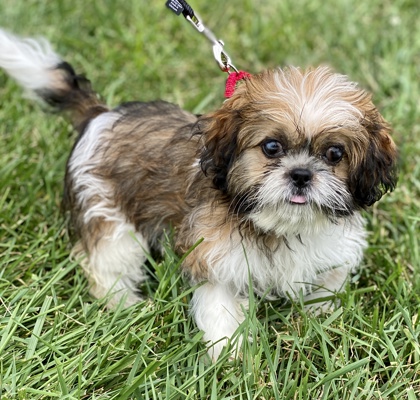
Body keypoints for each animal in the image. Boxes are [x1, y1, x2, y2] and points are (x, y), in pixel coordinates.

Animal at [0, 28, 398, 360]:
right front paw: (231, 358)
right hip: (106, 211)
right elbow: (219, 307)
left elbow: (327, 285)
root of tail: (100, 115)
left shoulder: (330, 252)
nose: (301, 175)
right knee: (107, 261)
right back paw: (125, 304)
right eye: (271, 147)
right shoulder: (214, 256)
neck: (278, 227)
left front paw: (320, 321)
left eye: (335, 154)